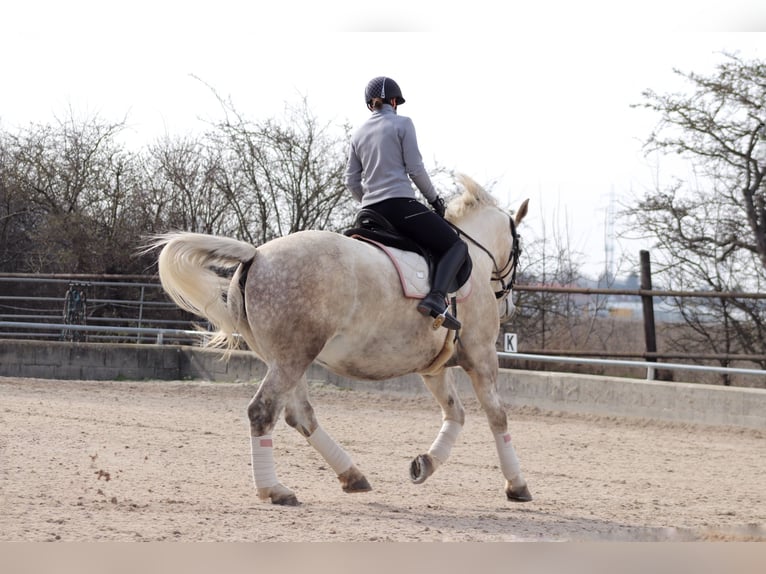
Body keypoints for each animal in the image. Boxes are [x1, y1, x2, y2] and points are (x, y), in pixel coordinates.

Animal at [153, 176, 532, 508]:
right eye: (519, 248)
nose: (509, 306)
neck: (475, 261)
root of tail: (256, 255)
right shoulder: (481, 356)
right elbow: (497, 417)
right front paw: (517, 484)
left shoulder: (434, 369)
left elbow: (457, 413)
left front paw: (425, 464)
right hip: (293, 358)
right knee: (263, 411)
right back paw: (275, 490)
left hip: (287, 358)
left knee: (299, 415)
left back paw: (352, 475)